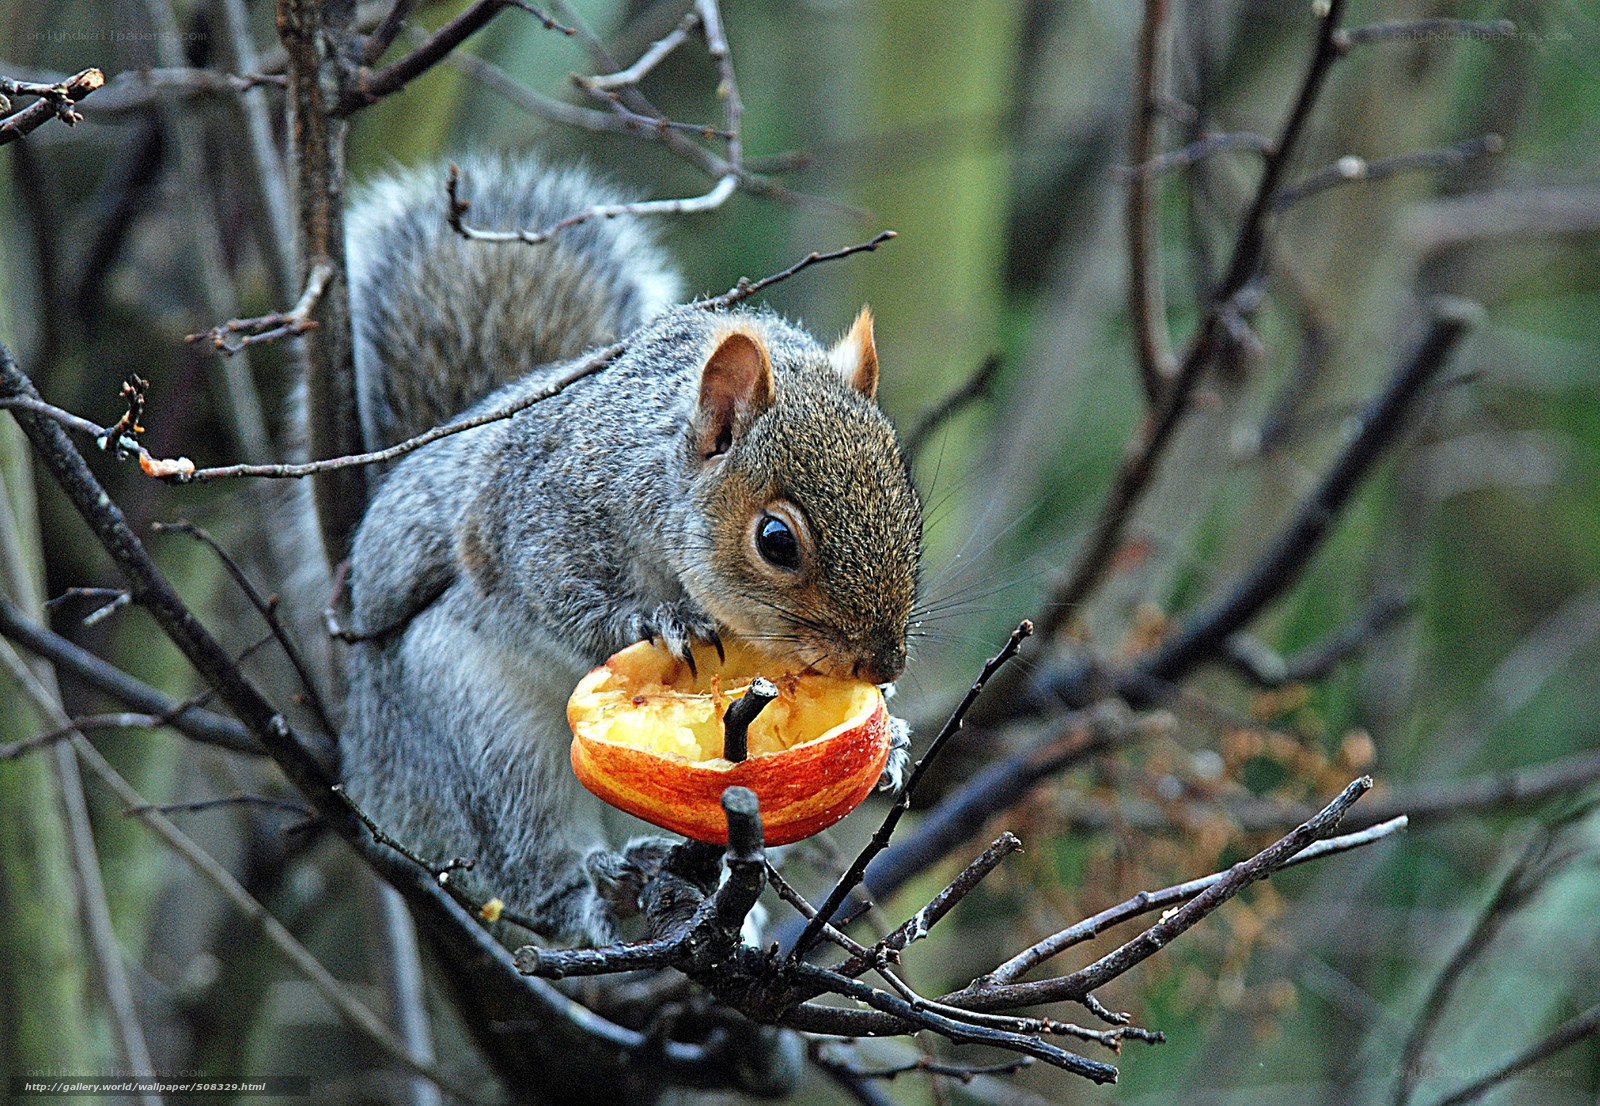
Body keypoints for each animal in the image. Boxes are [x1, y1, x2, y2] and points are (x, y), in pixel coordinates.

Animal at [336, 154, 923, 944]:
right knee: (525, 858)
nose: (882, 665)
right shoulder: (538, 517)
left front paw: (892, 735)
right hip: (475, 733)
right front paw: (660, 624)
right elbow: (556, 596)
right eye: (776, 541)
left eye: (909, 504)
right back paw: (599, 894)